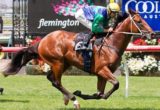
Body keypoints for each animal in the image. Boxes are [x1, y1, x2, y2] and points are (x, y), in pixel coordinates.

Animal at [2, 9, 152, 109]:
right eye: (139, 21)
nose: (152, 34)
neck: (111, 44)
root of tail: (43, 40)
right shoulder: (102, 69)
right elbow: (115, 84)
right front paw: (78, 94)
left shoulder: (101, 73)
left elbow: (100, 93)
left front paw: (84, 94)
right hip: (57, 62)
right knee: (56, 82)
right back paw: (73, 99)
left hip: (64, 63)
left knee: (51, 78)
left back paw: (67, 98)